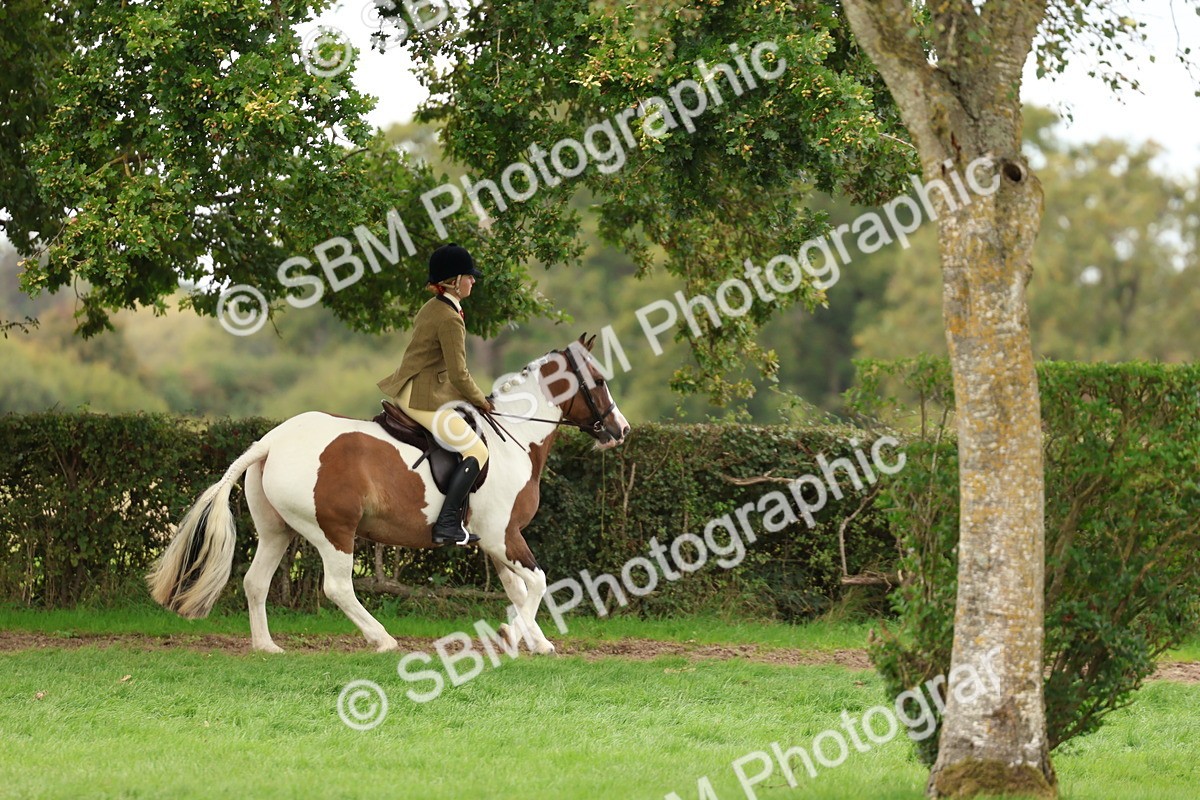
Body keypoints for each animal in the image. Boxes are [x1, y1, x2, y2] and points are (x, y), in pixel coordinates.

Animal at [147, 334, 630, 654]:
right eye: (598, 380)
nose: (621, 430)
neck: (516, 437)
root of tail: (271, 441)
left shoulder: (498, 540)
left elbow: (519, 588)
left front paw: (536, 641)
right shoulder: (501, 536)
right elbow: (538, 582)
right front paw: (515, 634)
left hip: (277, 531)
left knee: (255, 581)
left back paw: (267, 646)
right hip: (334, 530)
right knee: (337, 587)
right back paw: (382, 638)